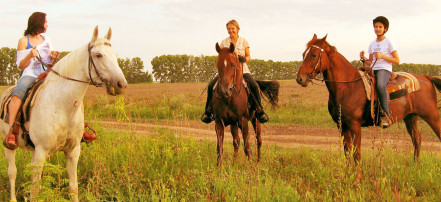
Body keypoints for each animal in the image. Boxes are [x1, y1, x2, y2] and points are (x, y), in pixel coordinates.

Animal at [0, 26, 127, 201]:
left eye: (115, 55)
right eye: (98, 55)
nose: (121, 84)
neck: (61, 104)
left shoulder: (72, 151)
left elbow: (73, 187)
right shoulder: (41, 151)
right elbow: (35, 190)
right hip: (10, 147)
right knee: (12, 172)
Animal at [294, 34, 440, 183]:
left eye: (313, 55)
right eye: (304, 54)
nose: (300, 79)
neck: (348, 87)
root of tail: (426, 78)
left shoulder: (354, 124)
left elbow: (357, 153)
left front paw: (357, 179)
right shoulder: (342, 125)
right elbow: (347, 152)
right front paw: (347, 175)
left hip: (431, 115)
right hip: (410, 117)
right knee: (417, 140)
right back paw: (415, 167)